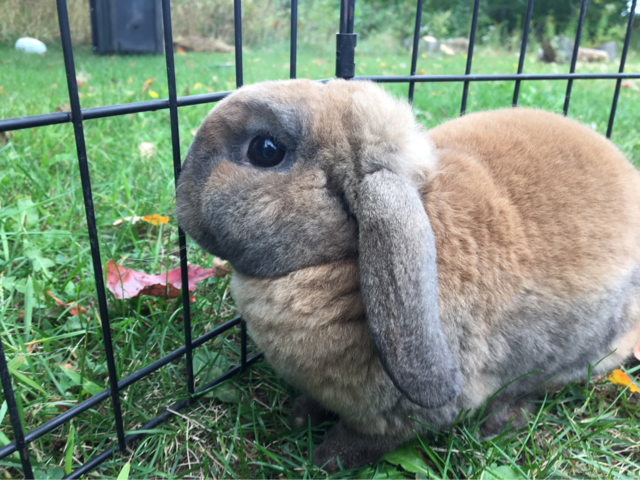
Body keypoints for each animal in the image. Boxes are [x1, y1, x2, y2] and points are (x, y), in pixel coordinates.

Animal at [174, 79, 640, 472]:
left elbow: (360, 442)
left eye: (266, 150)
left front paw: (323, 459)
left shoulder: (395, 419)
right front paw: (301, 416)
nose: (179, 191)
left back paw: (500, 420)